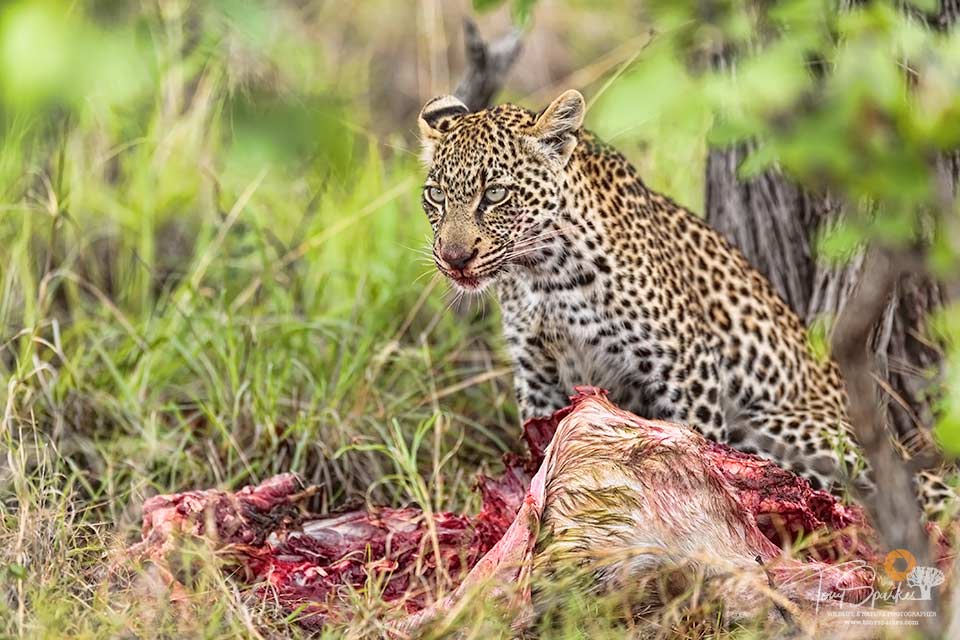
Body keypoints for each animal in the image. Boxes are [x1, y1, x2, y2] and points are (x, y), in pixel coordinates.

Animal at [416, 90, 956, 520]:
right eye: (436, 196)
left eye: (495, 194)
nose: (454, 258)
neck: (541, 277)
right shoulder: (538, 377)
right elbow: (543, 450)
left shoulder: (685, 368)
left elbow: (692, 450)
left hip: (790, 428)